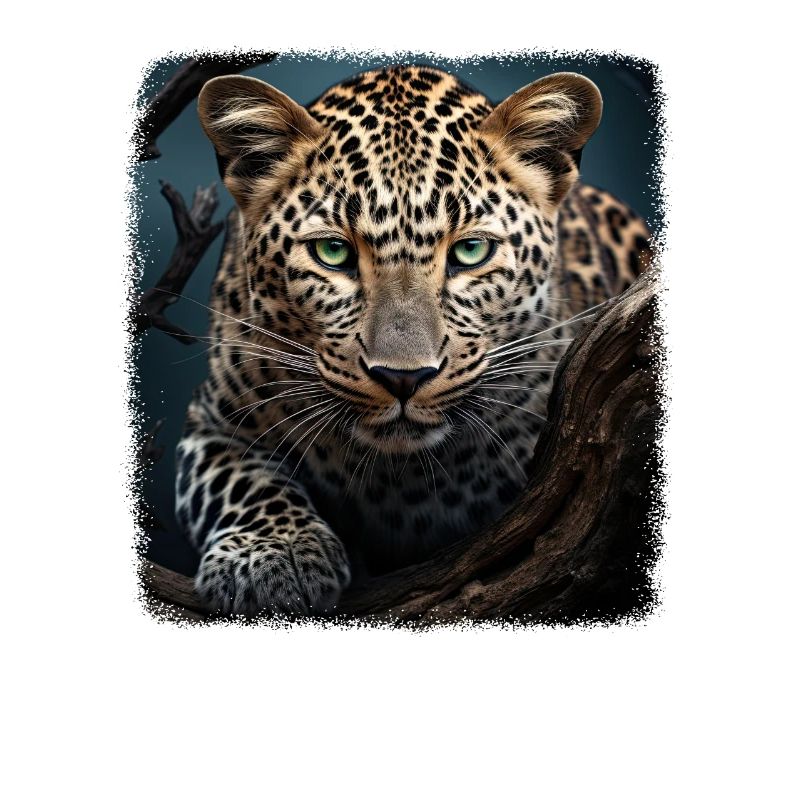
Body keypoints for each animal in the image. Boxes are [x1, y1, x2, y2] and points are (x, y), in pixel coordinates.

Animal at [173, 64, 651, 616]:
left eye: (470, 250)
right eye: (332, 252)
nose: (403, 379)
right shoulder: (211, 422)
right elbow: (241, 482)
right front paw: (271, 554)